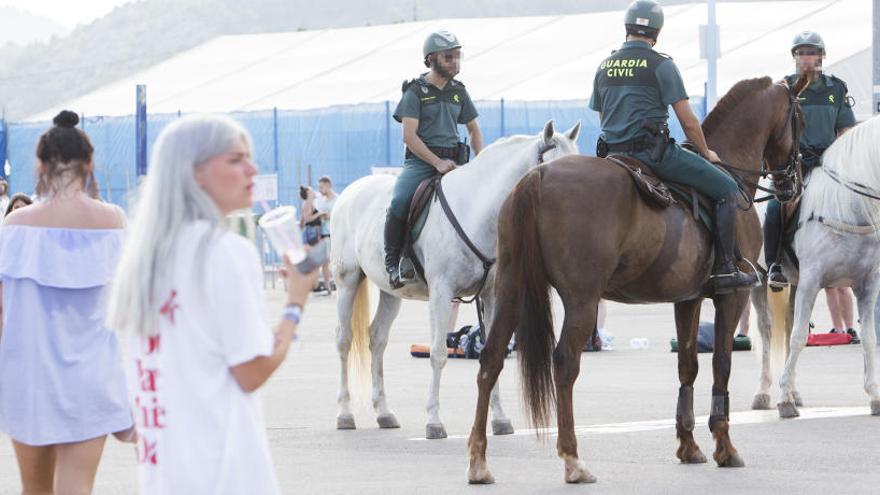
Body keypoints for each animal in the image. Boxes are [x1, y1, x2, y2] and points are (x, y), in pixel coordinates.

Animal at [326, 122, 580, 440]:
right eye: (556, 169)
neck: (476, 211)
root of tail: (350, 191)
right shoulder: (441, 293)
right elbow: (437, 354)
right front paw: (434, 421)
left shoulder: (491, 296)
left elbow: (493, 353)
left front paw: (500, 419)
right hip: (347, 281)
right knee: (343, 341)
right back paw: (344, 414)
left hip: (390, 293)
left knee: (377, 339)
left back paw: (384, 412)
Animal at [470, 73, 808, 484]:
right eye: (800, 119)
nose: (794, 184)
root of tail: (539, 175)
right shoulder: (731, 297)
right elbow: (721, 365)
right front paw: (724, 447)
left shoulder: (688, 298)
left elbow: (688, 365)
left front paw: (688, 445)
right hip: (582, 301)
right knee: (564, 364)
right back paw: (573, 460)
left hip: (510, 290)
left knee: (490, 359)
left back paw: (479, 462)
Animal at [748, 114, 880, 416]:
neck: (847, 206)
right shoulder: (811, 282)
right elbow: (798, 337)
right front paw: (783, 401)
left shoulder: (867, 286)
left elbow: (868, 338)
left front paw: (874, 395)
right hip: (759, 281)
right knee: (766, 330)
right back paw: (764, 393)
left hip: (794, 285)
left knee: (786, 325)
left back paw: (794, 392)